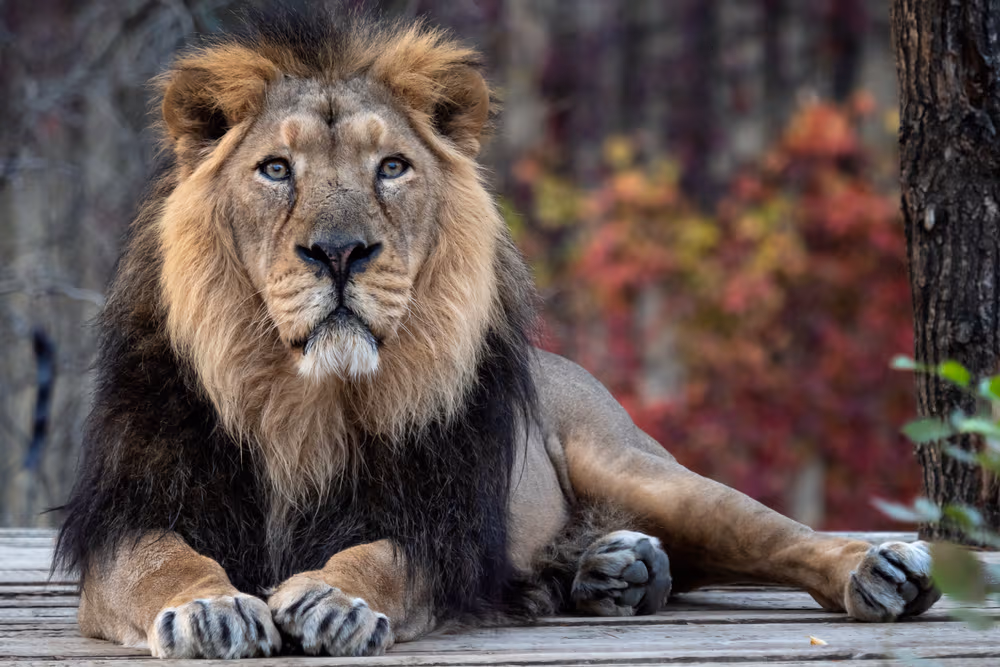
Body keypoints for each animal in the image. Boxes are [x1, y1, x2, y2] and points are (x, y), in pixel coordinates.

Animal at [55, 9, 940, 660]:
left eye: (392, 167)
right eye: (276, 169)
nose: (339, 251)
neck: (299, 400)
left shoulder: (438, 522)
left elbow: (383, 556)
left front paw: (337, 599)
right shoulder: (129, 515)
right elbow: (165, 560)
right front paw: (210, 609)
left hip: (638, 465)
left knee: (772, 532)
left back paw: (877, 568)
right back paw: (615, 570)